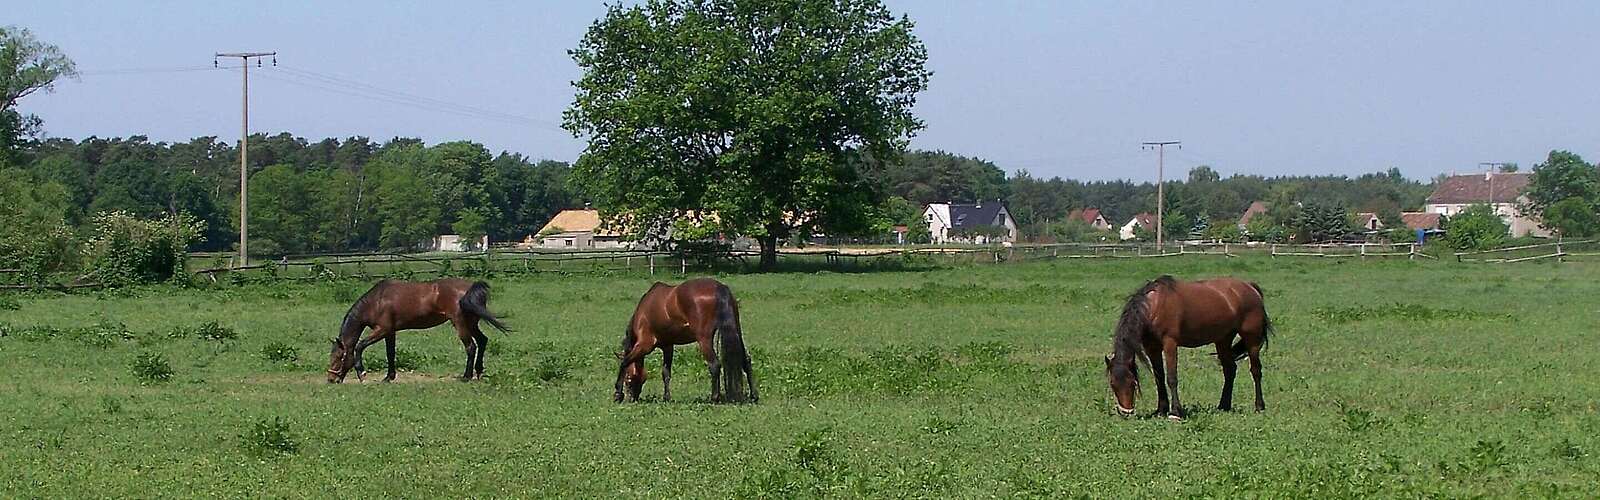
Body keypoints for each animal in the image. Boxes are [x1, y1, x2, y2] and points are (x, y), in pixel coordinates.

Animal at [327, 278, 510, 383]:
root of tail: (470, 288)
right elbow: (390, 353)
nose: (331, 379)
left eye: (337, 358)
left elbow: (359, 346)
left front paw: (361, 372)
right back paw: (478, 372)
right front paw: (388, 377)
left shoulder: (382, 330)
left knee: (471, 347)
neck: (376, 301)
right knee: (482, 341)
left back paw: (466, 376)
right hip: (471, 323)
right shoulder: (390, 332)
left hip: (460, 324)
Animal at [615, 278, 756, 403]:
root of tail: (719, 287)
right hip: (736, 330)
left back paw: (714, 398)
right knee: (746, 361)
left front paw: (617, 394)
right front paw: (666, 398)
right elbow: (666, 372)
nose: (632, 398)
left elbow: (625, 362)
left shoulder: (645, 345)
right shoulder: (668, 346)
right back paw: (754, 396)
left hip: (704, 339)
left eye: (628, 378)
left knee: (714, 365)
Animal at [1104, 275, 1272, 419]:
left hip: (1252, 339)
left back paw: (1259, 406)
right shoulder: (1152, 348)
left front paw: (1175, 412)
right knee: (1229, 370)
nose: (1126, 412)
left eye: (1133, 382)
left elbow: (1171, 378)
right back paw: (1223, 406)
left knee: (1256, 371)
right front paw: (1161, 410)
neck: (1153, 307)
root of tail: (1250, 286)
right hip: (1223, 340)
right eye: (1112, 384)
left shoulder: (1170, 344)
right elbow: (1159, 378)